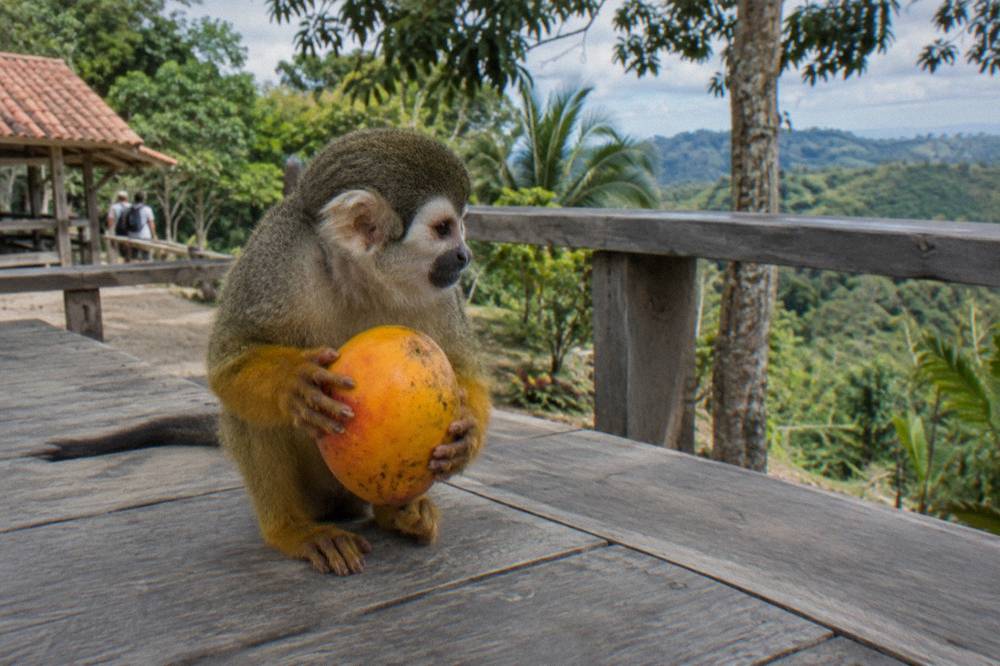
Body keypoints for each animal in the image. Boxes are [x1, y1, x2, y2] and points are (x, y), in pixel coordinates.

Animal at [40, 129, 492, 576]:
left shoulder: (440, 292)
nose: (464, 255)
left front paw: (465, 435)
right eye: (443, 228)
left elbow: (462, 370)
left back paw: (396, 513)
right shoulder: (278, 258)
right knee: (250, 412)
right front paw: (292, 384)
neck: (358, 275)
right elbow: (228, 362)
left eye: (460, 227)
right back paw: (293, 530)